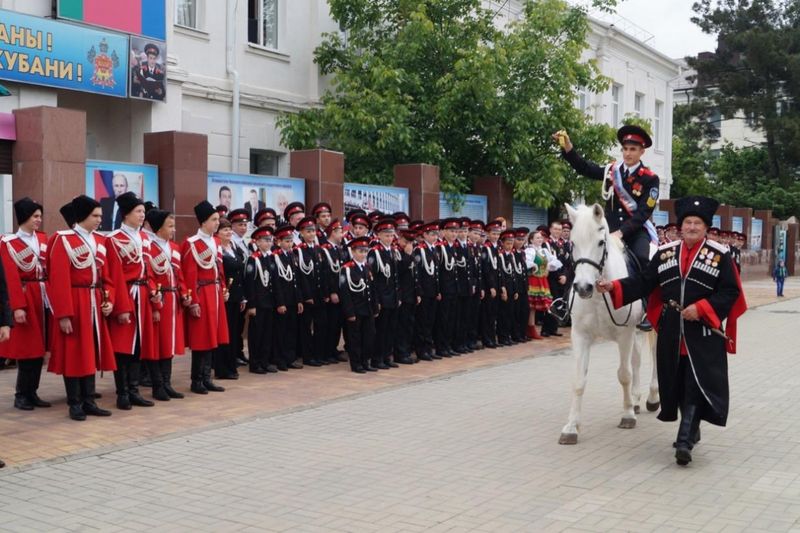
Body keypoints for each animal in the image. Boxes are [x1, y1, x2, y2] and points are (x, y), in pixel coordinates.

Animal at [560, 204, 660, 444]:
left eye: (600, 242)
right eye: (572, 243)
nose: (583, 287)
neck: (599, 294)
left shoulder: (624, 334)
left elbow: (624, 374)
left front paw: (627, 416)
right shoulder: (580, 335)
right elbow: (578, 380)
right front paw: (571, 427)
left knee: (653, 355)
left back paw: (652, 398)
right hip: (637, 332)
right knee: (637, 360)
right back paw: (636, 399)